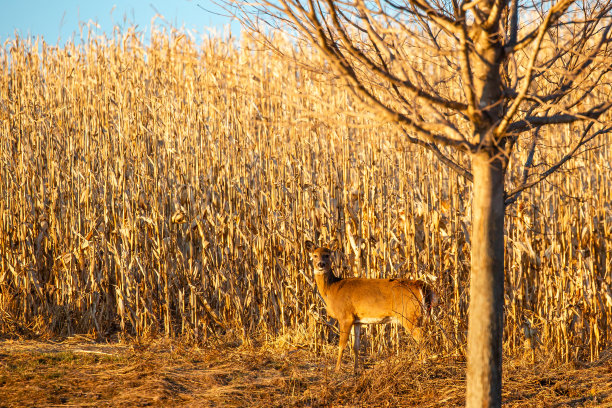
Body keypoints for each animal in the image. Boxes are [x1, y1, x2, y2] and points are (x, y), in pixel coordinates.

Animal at [304, 241, 436, 372]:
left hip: (408, 315)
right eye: (315, 255)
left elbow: (342, 345)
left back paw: (423, 364)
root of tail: (420, 285)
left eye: (327, 255)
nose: (321, 264)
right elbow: (355, 346)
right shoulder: (357, 320)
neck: (332, 289)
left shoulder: (345, 316)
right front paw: (355, 370)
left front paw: (337, 370)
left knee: (421, 338)